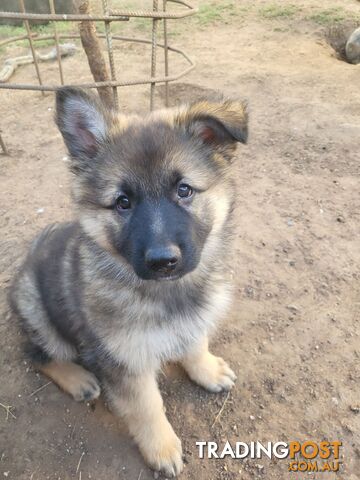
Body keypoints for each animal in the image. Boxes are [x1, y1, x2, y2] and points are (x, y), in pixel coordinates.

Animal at [10, 88, 248, 478]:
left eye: (184, 190)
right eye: (123, 202)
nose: (163, 261)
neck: (166, 293)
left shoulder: (193, 321)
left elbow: (195, 344)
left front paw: (207, 369)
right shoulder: (125, 362)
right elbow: (147, 408)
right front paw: (162, 448)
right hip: (40, 315)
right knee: (36, 354)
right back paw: (79, 380)